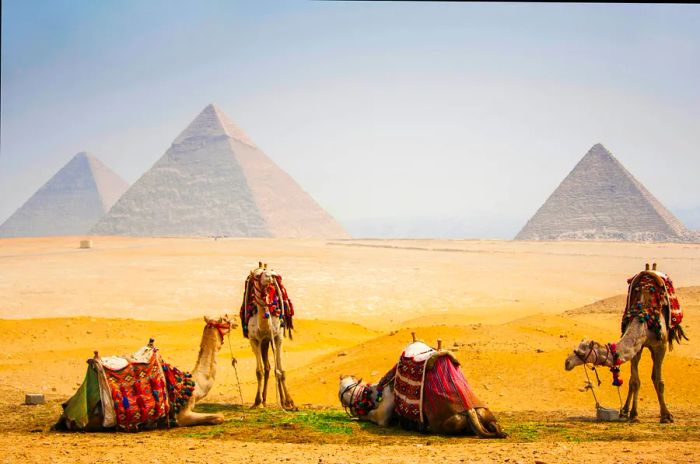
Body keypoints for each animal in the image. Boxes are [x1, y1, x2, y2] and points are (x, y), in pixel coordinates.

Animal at [54, 316, 235, 432]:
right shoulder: (182, 415)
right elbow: (219, 416)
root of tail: (66, 415)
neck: (195, 386)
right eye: (224, 320)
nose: (234, 321)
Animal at [338, 338, 504, 436]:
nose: (350, 409)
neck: (374, 393)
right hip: (485, 414)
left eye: (341, 391)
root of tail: (470, 411)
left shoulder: (382, 416)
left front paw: (357, 417)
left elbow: (370, 417)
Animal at [564, 262, 688, 422]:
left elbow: (659, 381)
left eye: (580, 351)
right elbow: (634, 381)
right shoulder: (637, 348)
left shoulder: (660, 346)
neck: (643, 319)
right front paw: (633, 414)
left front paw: (666, 416)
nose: (567, 362)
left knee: (655, 376)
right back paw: (624, 410)